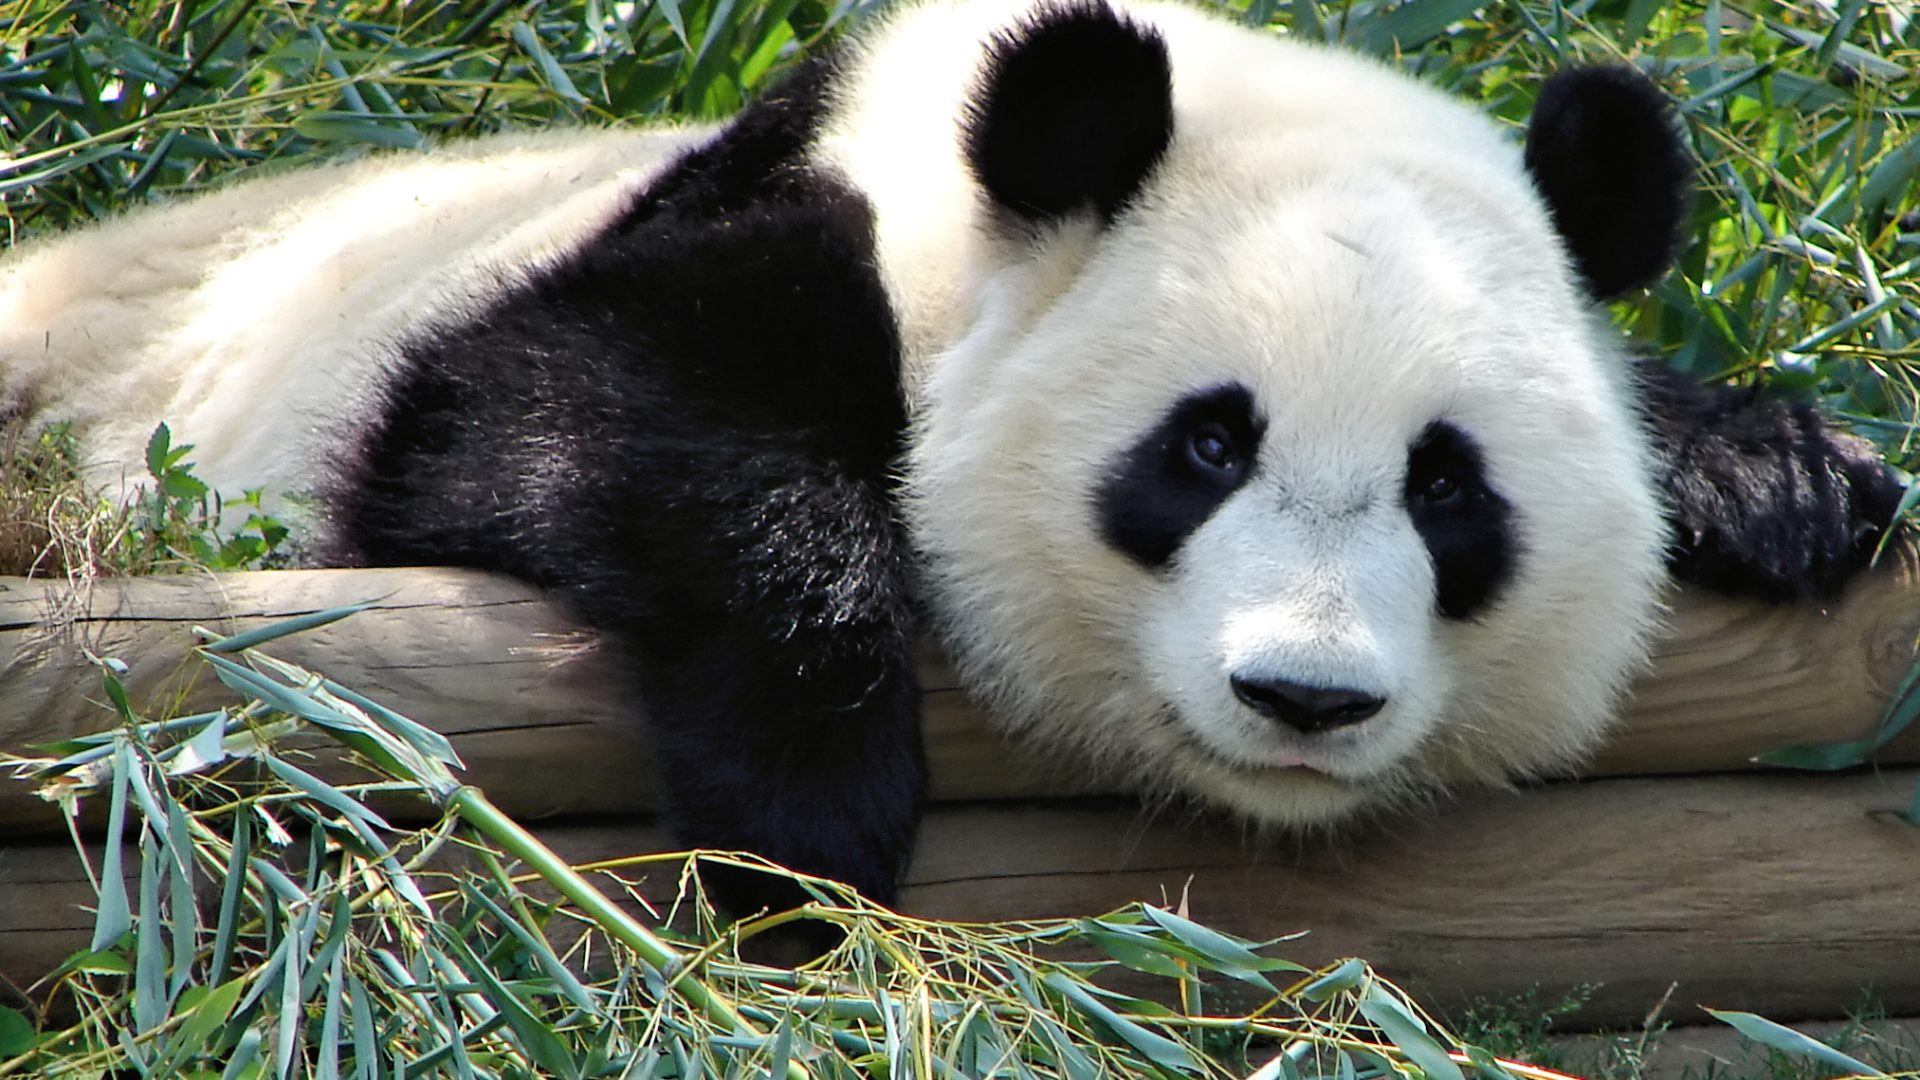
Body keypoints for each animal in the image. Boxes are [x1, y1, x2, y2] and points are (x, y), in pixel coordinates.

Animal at [0, 0, 1903, 919]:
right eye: (1206, 445)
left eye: (1450, 488)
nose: (1305, 697)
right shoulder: (725, 237)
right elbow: (546, 412)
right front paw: (807, 826)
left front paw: (1782, 480)